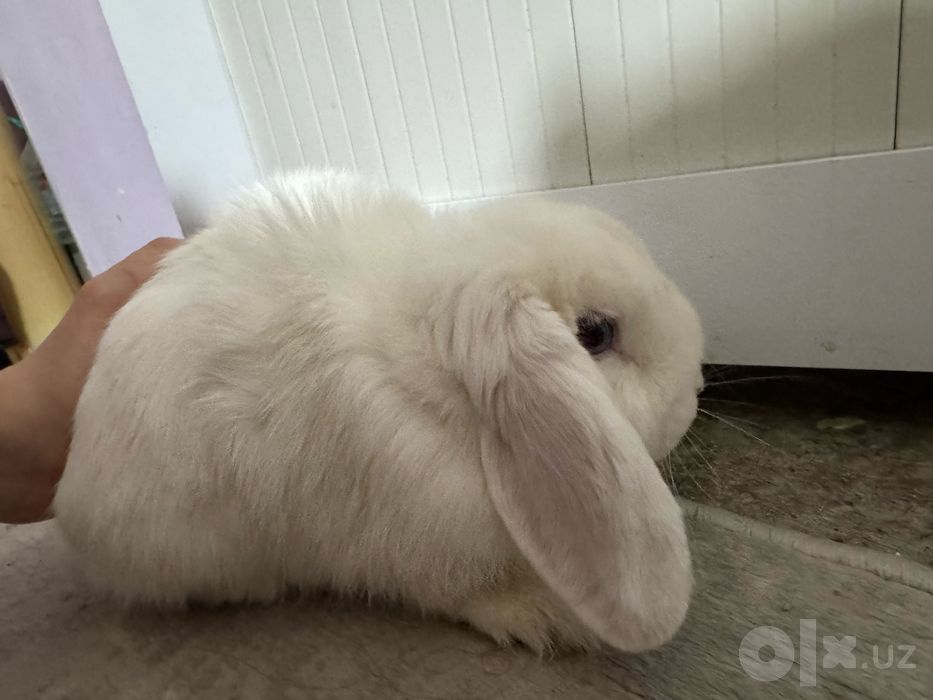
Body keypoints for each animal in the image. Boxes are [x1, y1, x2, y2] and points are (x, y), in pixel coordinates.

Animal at [53, 170, 704, 654]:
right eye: (594, 335)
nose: (697, 386)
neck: (429, 389)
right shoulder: (410, 547)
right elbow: (463, 593)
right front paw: (544, 616)